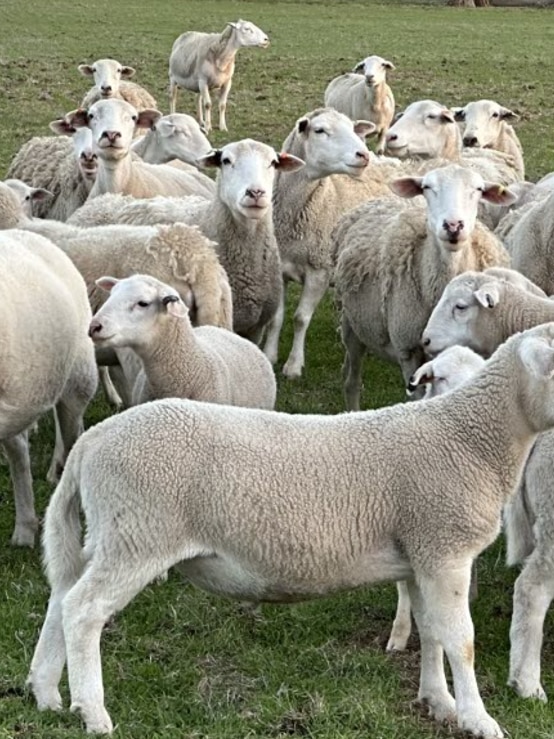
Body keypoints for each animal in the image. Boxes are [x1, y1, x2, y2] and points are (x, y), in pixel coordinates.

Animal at [27, 323, 554, 738]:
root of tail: (92, 442)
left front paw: (438, 702)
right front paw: (479, 719)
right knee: (83, 610)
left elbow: (431, 632)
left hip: (113, 534)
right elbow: (460, 640)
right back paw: (93, 712)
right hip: (137, 533)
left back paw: (46, 693)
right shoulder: (444, 550)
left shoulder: (422, 554)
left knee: (61, 597)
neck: (470, 437)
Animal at [263, 108, 383, 378]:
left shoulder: (320, 269)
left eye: (352, 128)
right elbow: (277, 317)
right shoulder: (278, 267)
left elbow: (300, 318)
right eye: (320, 130)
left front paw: (293, 365)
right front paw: (269, 355)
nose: (364, 155)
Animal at [333, 164, 513, 410]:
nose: (453, 225)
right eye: (427, 187)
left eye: (478, 189)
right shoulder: (408, 350)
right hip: (353, 324)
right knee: (351, 380)